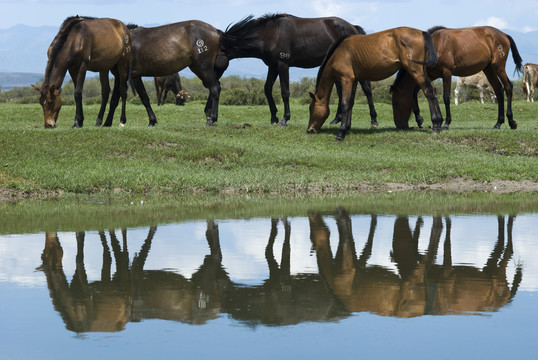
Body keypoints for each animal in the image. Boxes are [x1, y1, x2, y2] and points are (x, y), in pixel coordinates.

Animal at [218, 13, 376, 126]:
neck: (270, 34)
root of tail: (353, 27)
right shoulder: (272, 66)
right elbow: (267, 89)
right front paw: (274, 117)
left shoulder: (283, 65)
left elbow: (285, 91)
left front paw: (284, 119)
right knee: (341, 91)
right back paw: (336, 120)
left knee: (367, 89)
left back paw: (373, 120)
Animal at [306, 27, 440, 141]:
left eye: (311, 108)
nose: (310, 130)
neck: (339, 52)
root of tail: (421, 32)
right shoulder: (354, 80)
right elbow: (351, 103)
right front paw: (347, 127)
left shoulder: (346, 79)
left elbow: (345, 104)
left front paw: (341, 133)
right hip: (422, 71)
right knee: (433, 90)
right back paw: (438, 122)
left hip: (415, 70)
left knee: (428, 92)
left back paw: (435, 124)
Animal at [388, 26, 520, 131]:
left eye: (396, 102)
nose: (399, 125)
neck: (434, 47)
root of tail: (504, 35)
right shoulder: (431, 75)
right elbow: (419, 92)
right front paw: (421, 119)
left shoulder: (447, 73)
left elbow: (446, 97)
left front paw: (446, 123)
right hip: (489, 70)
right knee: (499, 90)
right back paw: (498, 123)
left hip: (499, 67)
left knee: (508, 87)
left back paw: (511, 122)